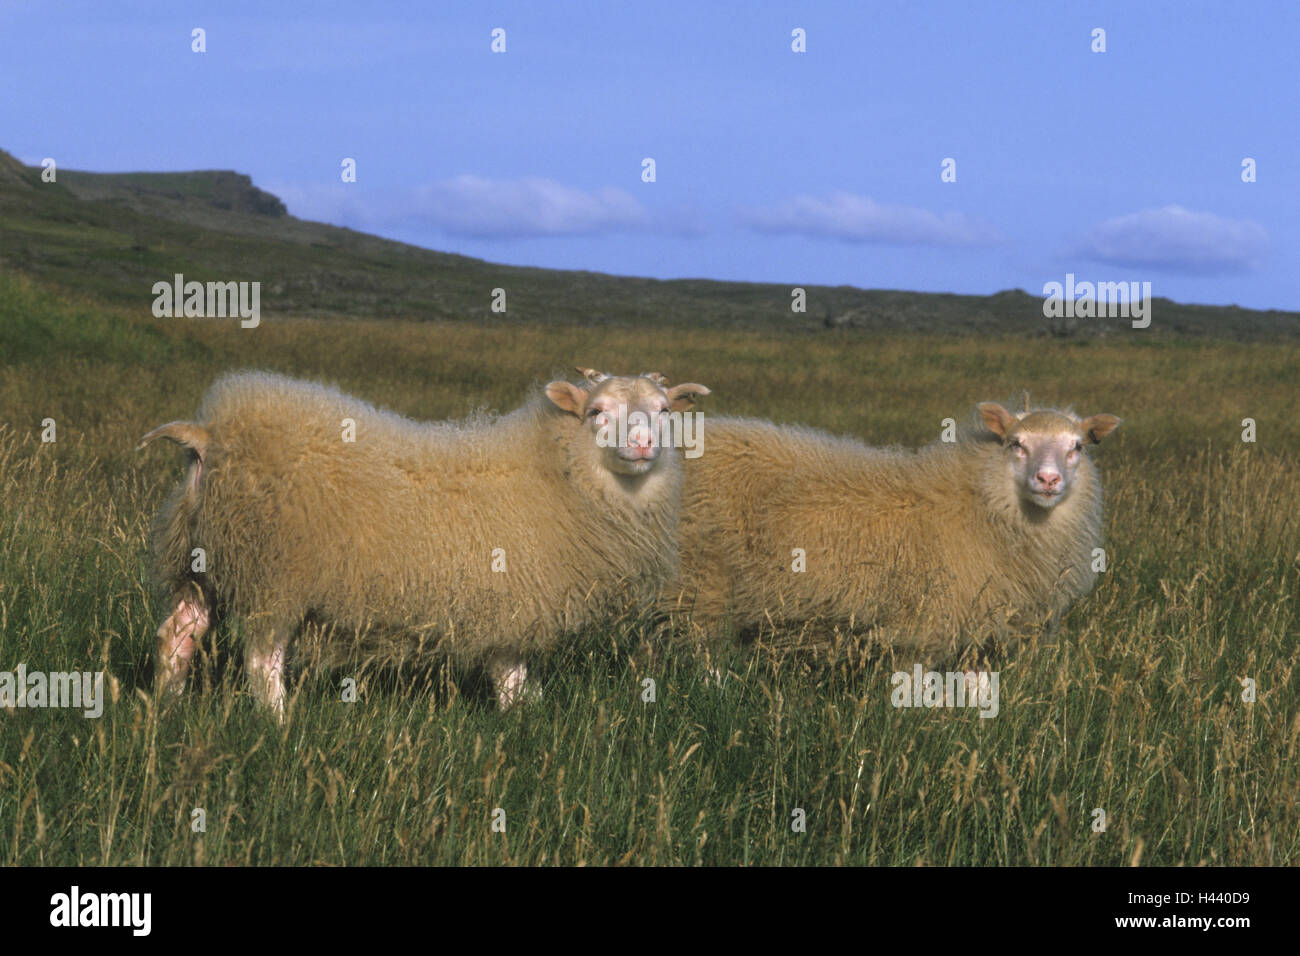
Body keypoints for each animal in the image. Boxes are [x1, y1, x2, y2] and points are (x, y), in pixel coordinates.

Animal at [141, 368, 711, 716]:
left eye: (664, 411)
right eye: (597, 411)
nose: (643, 443)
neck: (559, 472)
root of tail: (210, 434)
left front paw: (529, 716)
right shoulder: (512, 600)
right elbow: (510, 675)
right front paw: (519, 720)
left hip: (202, 558)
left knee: (179, 633)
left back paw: (167, 706)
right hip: (274, 571)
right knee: (262, 662)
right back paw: (280, 724)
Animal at [667, 401, 1120, 659]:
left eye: (1077, 447)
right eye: (1016, 443)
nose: (1048, 479)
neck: (979, 499)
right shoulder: (925, 625)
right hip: (699, 584)